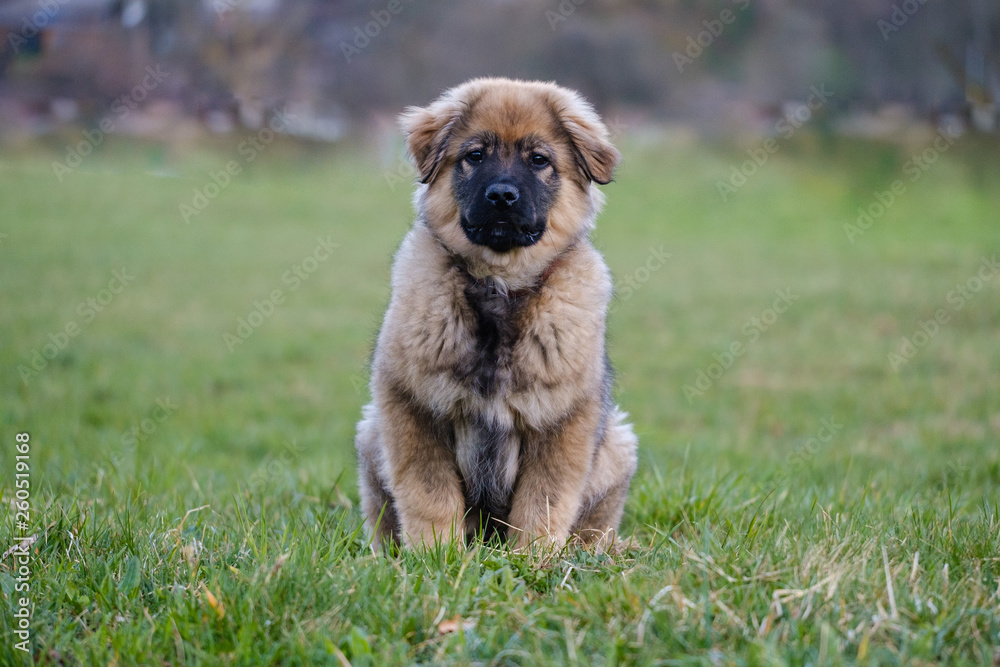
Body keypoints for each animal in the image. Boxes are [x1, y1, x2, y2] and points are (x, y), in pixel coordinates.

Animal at [356, 77, 636, 548]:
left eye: (538, 159)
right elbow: (429, 493)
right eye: (475, 155)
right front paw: (435, 553)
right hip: (370, 434)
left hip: (616, 447)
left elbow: (543, 502)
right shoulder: (411, 407)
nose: (502, 196)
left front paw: (533, 557)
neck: (499, 285)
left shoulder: (563, 422)